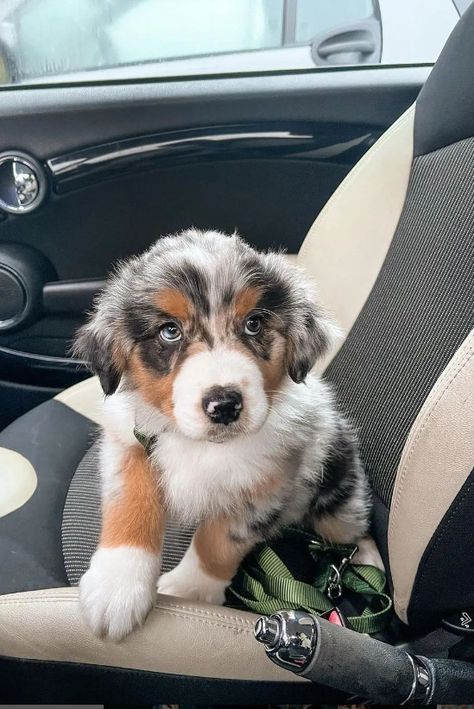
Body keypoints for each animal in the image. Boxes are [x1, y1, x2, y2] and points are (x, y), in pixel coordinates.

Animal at [76, 230, 384, 640]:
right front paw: (116, 587)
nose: (224, 405)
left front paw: (190, 590)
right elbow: (131, 504)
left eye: (254, 323)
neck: (201, 445)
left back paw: (368, 561)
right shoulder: (128, 443)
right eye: (170, 331)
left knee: (353, 530)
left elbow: (218, 542)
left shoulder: (266, 484)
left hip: (338, 491)